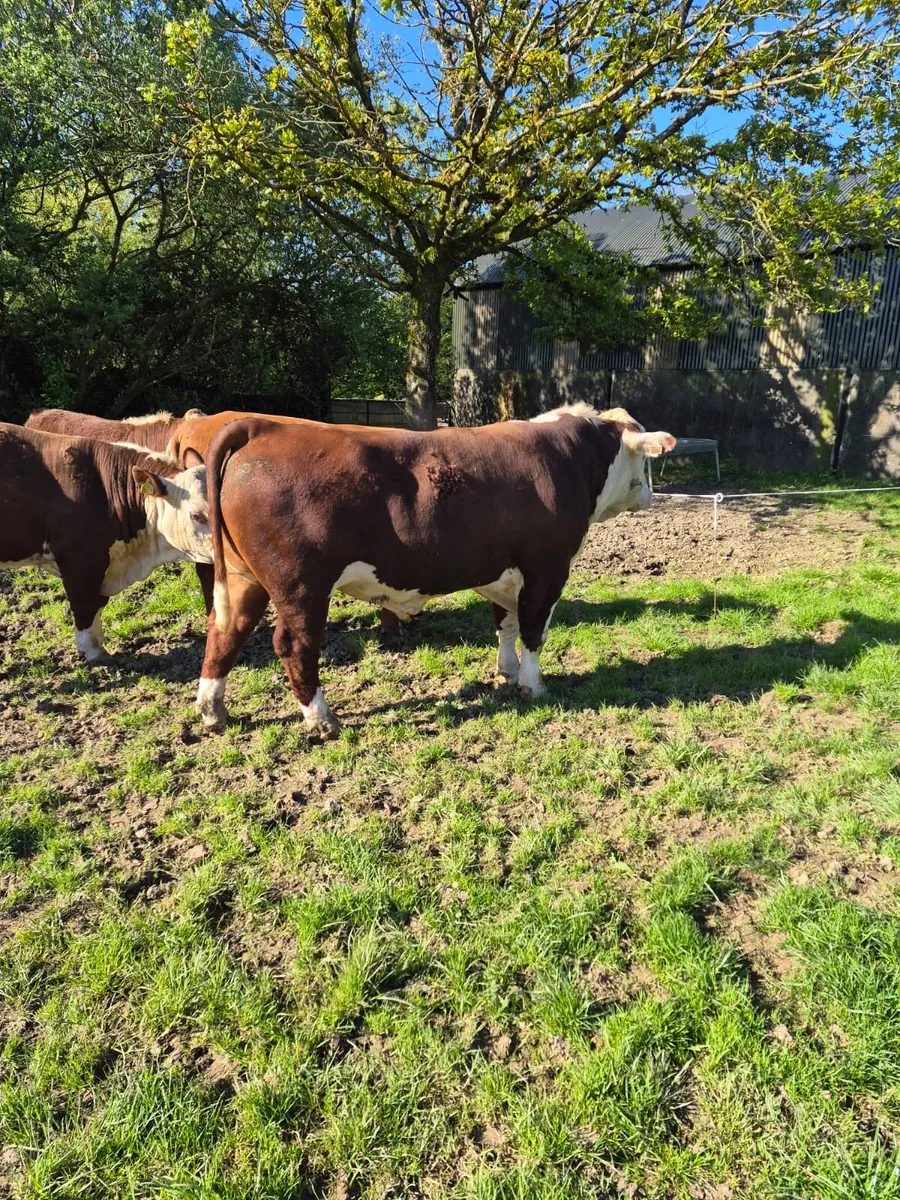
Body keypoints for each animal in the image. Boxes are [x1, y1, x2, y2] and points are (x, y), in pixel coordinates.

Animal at [192, 403, 676, 737]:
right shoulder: (547, 569)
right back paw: (323, 720)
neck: (570, 460)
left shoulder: (502, 573)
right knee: (294, 645)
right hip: (302, 586)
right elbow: (534, 631)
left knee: (225, 630)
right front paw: (533, 685)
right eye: (645, 461)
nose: (652, 496)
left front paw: (507, 672)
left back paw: (214, 712)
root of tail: (262, 427)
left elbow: (506, 625)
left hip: (243, 578)